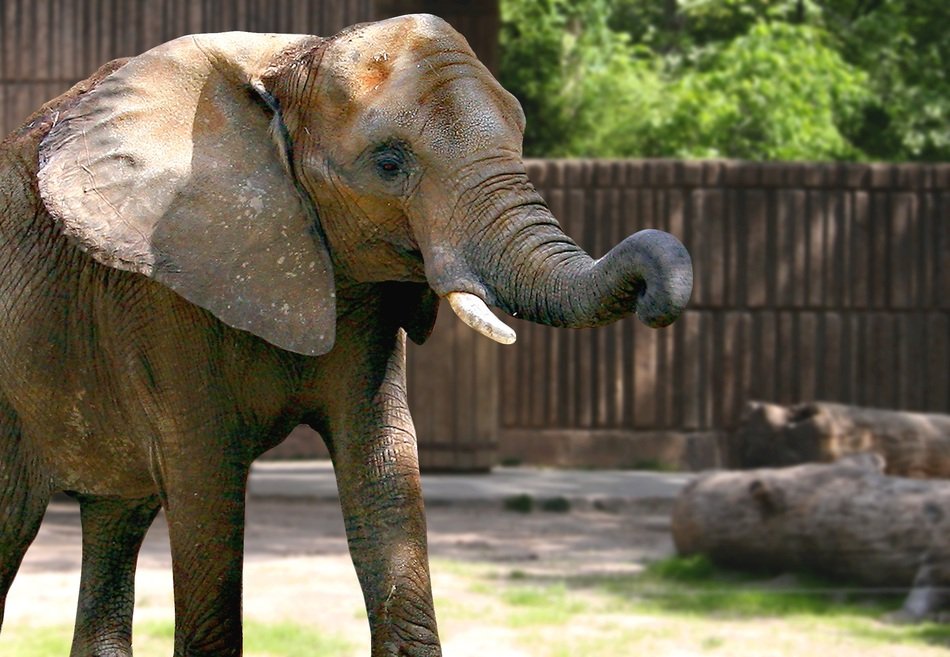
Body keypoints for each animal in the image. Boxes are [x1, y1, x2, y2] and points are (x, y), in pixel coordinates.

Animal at [0, 13, 691, 657]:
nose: (658, 292)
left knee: (116, 518)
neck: (289, 66)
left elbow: (381, 463)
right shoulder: (164, 282)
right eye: (388, 164)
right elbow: (206, 479)